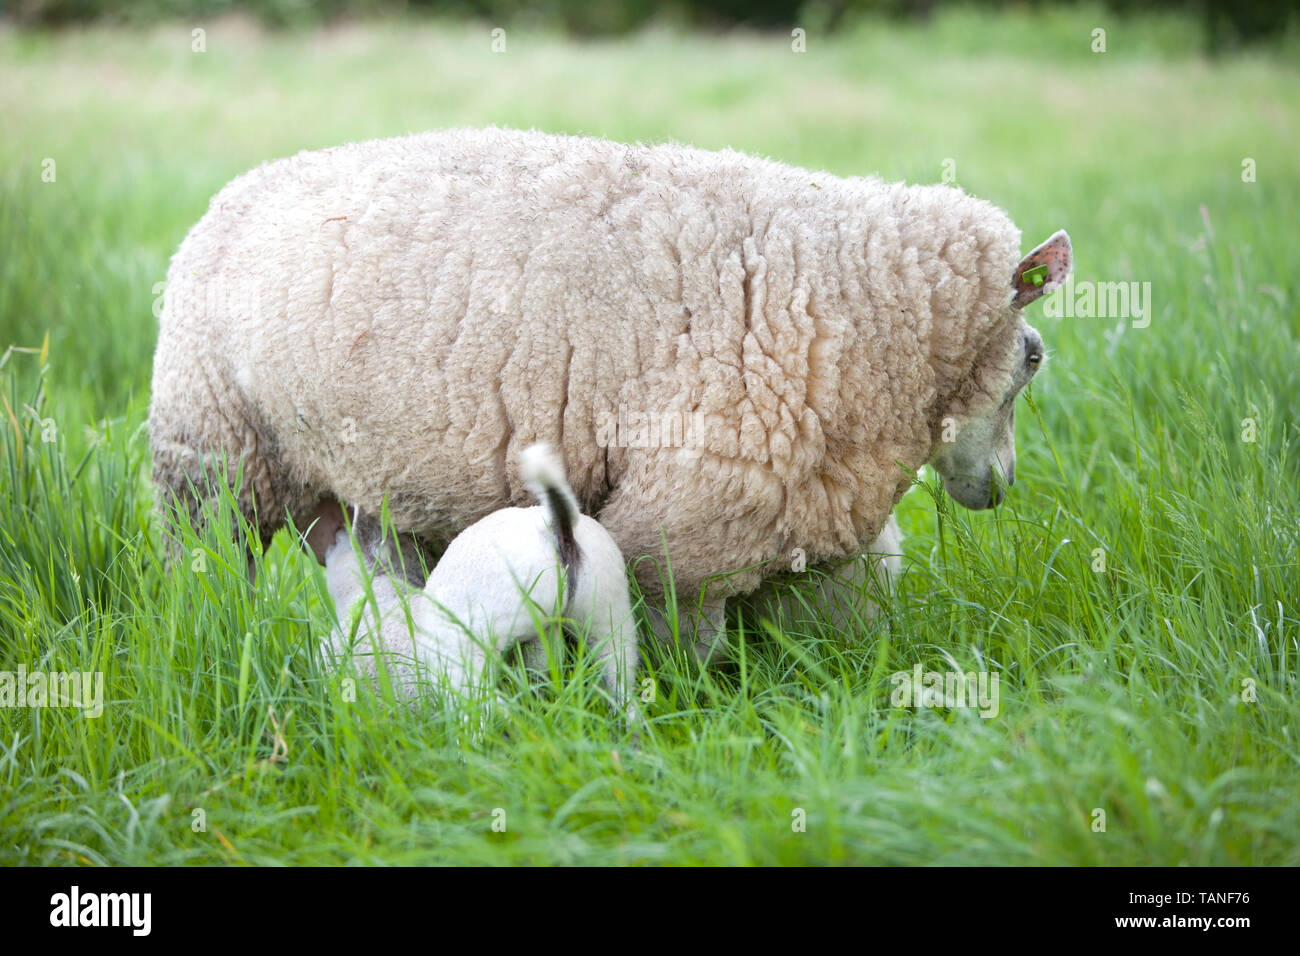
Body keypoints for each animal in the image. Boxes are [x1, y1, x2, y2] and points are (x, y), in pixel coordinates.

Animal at [148, 127, 1072, 659]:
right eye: (1031, 356)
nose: (1002, 487)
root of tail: (233, 192)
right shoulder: (690, 530)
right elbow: (690, 657)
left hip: (371, 488)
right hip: (210, 455)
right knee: (204, 569)